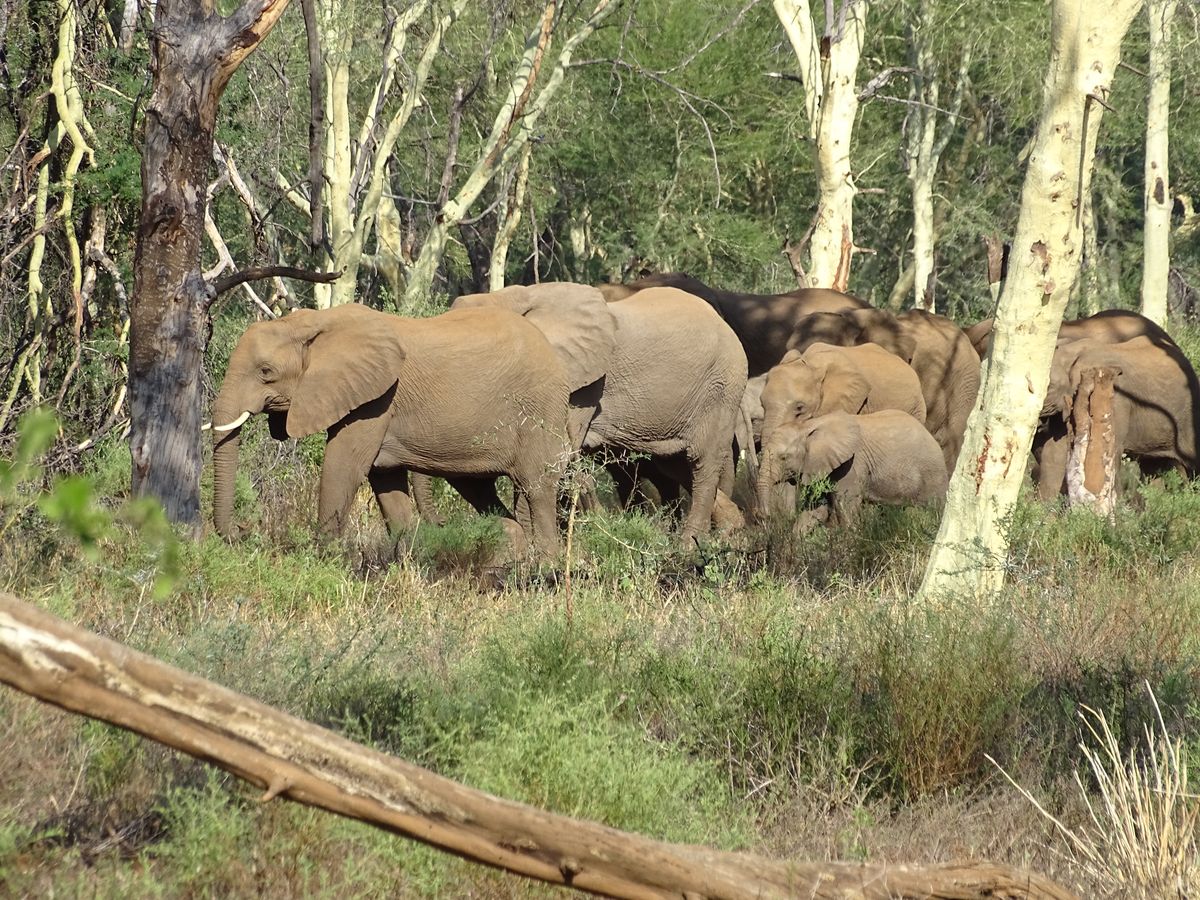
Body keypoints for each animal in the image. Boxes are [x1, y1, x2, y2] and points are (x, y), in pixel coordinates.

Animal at [208, 303, 574, 557]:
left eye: (265, 371)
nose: (244, 529)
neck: (315, 321)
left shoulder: (377, 399)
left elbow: (343, 467)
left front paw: (323, 561)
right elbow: (384, 481)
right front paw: (409, 563)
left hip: (540, 410)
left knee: (537, 487)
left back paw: (546, 567)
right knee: (479, 490)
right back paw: (515, 551)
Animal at [450, 283, 749, 542]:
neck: (512, 296)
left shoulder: (581, 384)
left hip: (721, 387)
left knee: (702, 461)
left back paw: (692, 545)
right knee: (674, 462)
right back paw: (731, 528)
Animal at [756, 409, 948, 527]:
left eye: (783, 458)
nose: (764, 516)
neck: (808, 425)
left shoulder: (851, 464)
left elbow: (846, 507)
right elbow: (815, 508)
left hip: (933, 473)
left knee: (935, 509)